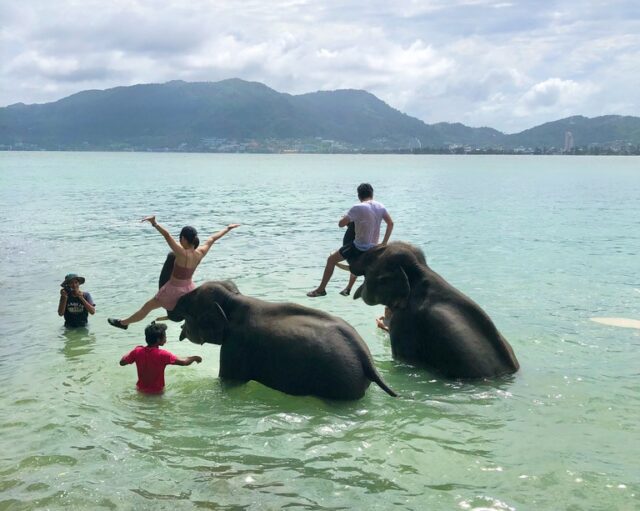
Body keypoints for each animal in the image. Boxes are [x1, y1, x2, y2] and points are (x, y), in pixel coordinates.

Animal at [159, 256, 397, 400]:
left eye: (189, 309)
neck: (234, 299)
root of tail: (366, 357)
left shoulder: (236, 347)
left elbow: (228, 382)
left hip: (339, 381)